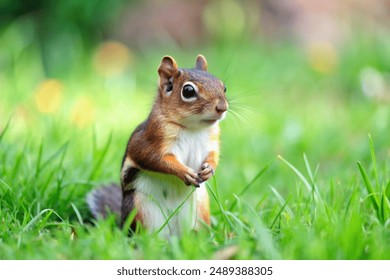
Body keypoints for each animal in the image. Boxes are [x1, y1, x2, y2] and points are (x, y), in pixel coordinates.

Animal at [87, 54, 227, 238]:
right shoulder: (148, 141)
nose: (223, 107)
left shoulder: (211, 143)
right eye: (188, 91)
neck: (192, 128)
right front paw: (184, 172)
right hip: (141, 210)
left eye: (224, 87)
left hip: (200, 210)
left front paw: (209, 170)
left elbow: (213, 156)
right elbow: (154, 159)